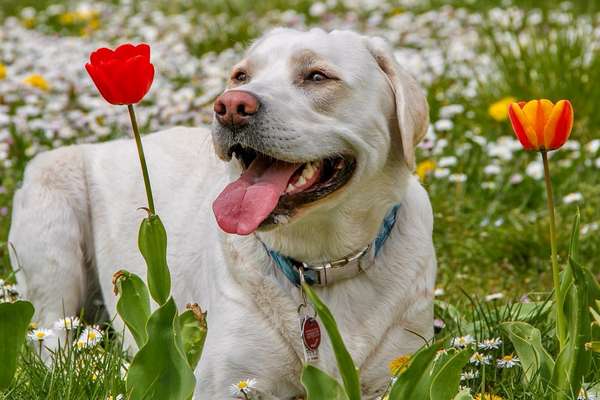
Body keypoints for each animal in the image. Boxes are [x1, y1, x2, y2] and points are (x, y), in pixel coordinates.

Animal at [7, 28, 434, 400]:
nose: (231, 106)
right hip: (52, 228)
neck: (321, 263)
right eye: (240, 75)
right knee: (50, 341)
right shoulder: (225, 382)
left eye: (317, 76)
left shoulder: (398, 372)